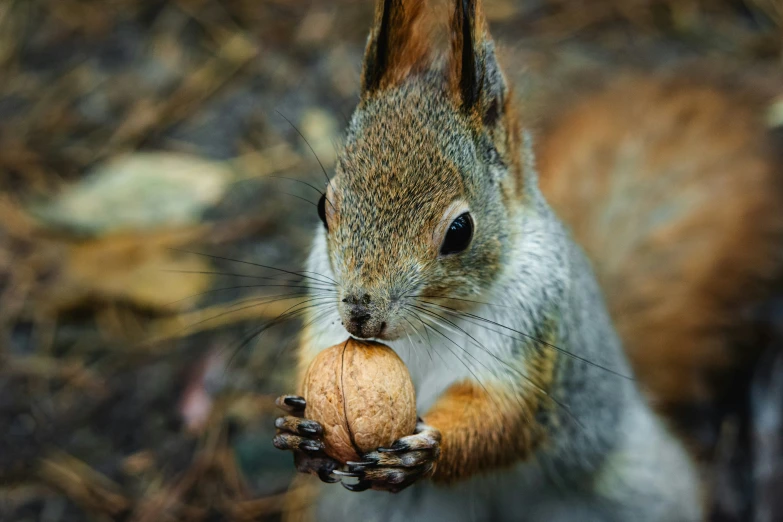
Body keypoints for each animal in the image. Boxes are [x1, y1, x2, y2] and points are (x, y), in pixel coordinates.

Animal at [272, 1, 783, 520]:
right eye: (323, 206)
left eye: (460, 231)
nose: (360, 313)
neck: (428, 328)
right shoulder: (324, 320)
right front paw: (298, 432)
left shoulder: (535, 335)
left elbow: (506, 419)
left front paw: (425, 450)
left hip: (639, 490)